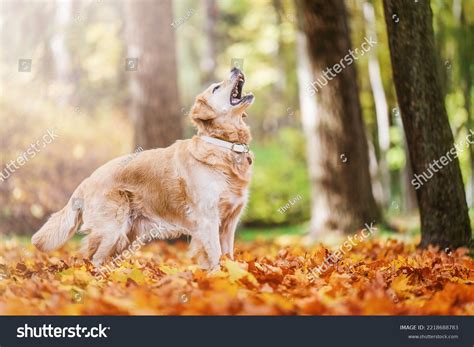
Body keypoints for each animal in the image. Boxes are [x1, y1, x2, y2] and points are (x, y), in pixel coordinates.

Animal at [32, 66, 256, 270]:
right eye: (216, 87)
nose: (235, 67)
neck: (224, 145)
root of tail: (87, 180)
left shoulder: (229, 222)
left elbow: (228, 254)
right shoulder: (208, 219)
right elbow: (215, 255)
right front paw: (217, 276)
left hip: (125, 235)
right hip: (112, 230)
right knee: (93, 259)